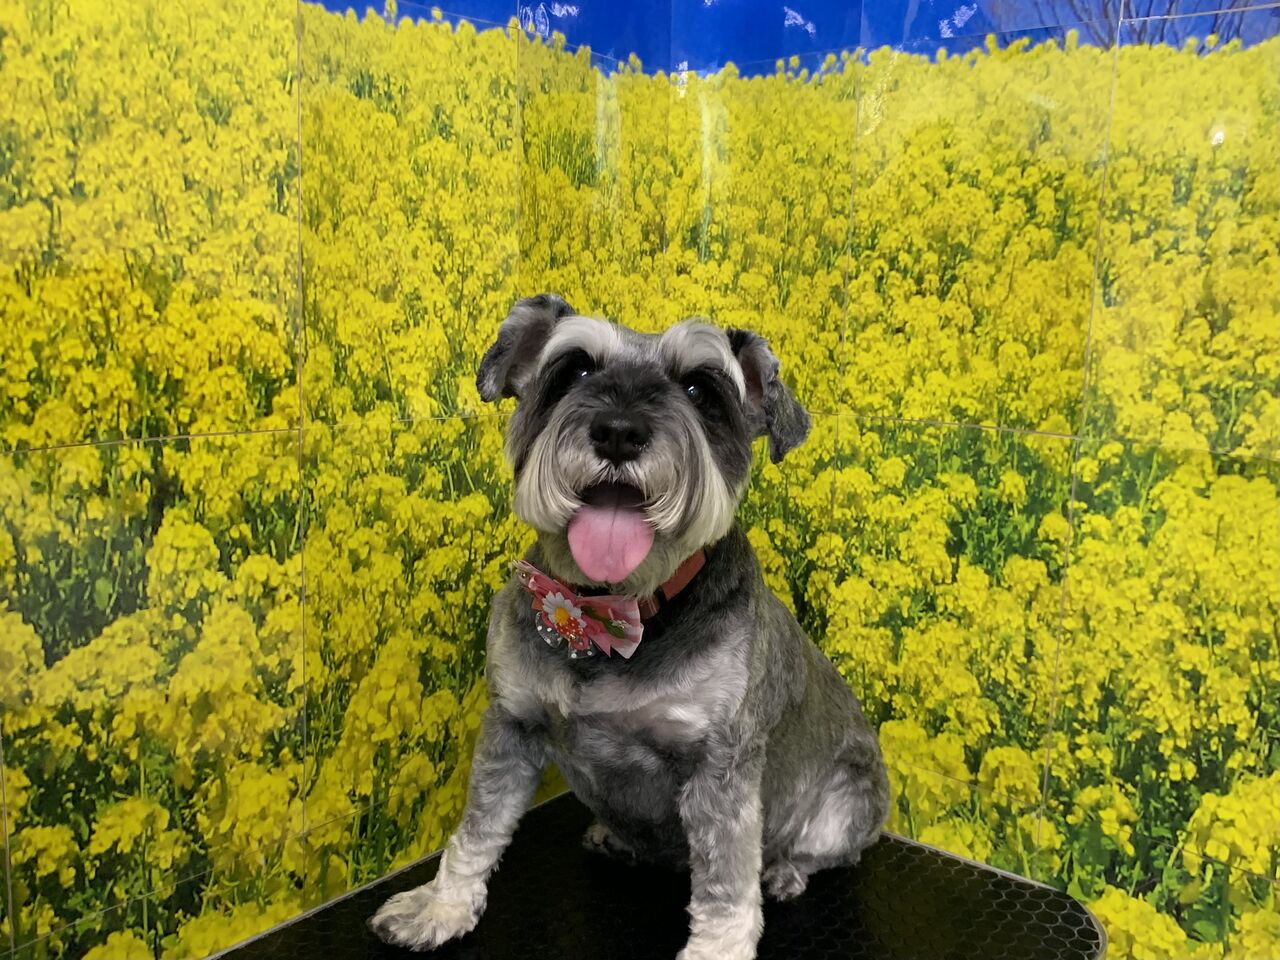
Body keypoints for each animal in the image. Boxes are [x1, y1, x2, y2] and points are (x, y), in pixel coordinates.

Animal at [369, 294, 890, 959]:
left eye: (700, 389)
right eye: (574, 370)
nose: (618, 432)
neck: (608, 615)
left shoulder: (719, 766)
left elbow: (726, 881)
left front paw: (717, 949)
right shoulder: (512, 723)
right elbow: (477, 828)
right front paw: (440, 906)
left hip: (848, 807)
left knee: (824, 853)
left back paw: (785, 871)